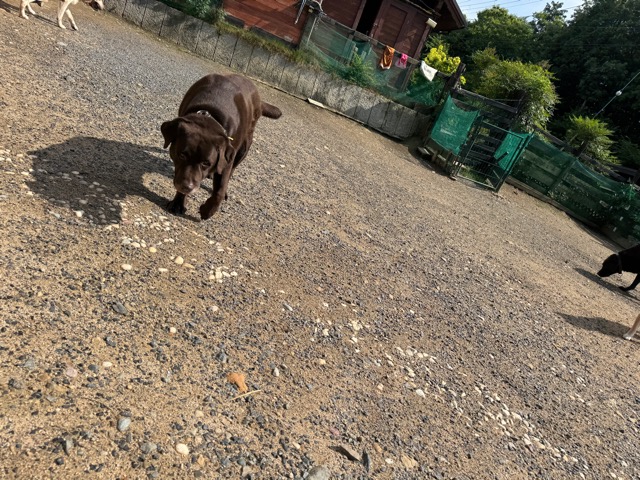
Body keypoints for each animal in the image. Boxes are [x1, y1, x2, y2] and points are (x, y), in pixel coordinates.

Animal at [161, 74, 282, 220]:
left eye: (206, 163)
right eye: (182, 155)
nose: (187, 187)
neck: (211, 114)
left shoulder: (226, 157)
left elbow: (220, 189)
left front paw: (207, 211)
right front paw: (178, 203)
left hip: (244, 147)